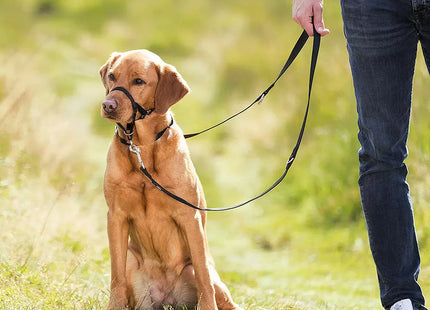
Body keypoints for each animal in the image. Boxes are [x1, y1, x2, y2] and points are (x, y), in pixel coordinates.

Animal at [98, 49, 244, 308]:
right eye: (113, 76)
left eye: (139, 81)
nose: (108, 105)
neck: (142, 146)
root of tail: (168, 299)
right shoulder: (116, 216)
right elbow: (116, 276)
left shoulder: (189, 217)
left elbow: (203, 280)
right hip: (133, 264)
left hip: (205, 274)